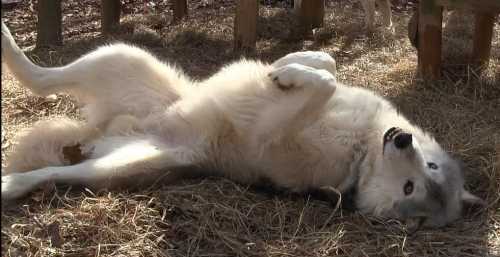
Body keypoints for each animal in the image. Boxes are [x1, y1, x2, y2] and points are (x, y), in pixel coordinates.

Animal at [1, 21, 482, 226]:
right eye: (428, 170)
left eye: (411, 189)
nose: (401, 139)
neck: (362, 146)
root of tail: (102, 132)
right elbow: (326, 64)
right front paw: (287, 69)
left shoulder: (274, 134)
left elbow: (324, 82)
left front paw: (292, 75)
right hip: (120, 55)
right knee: (42, 78)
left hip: (111, 168)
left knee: (48, 172)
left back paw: (13, 182)